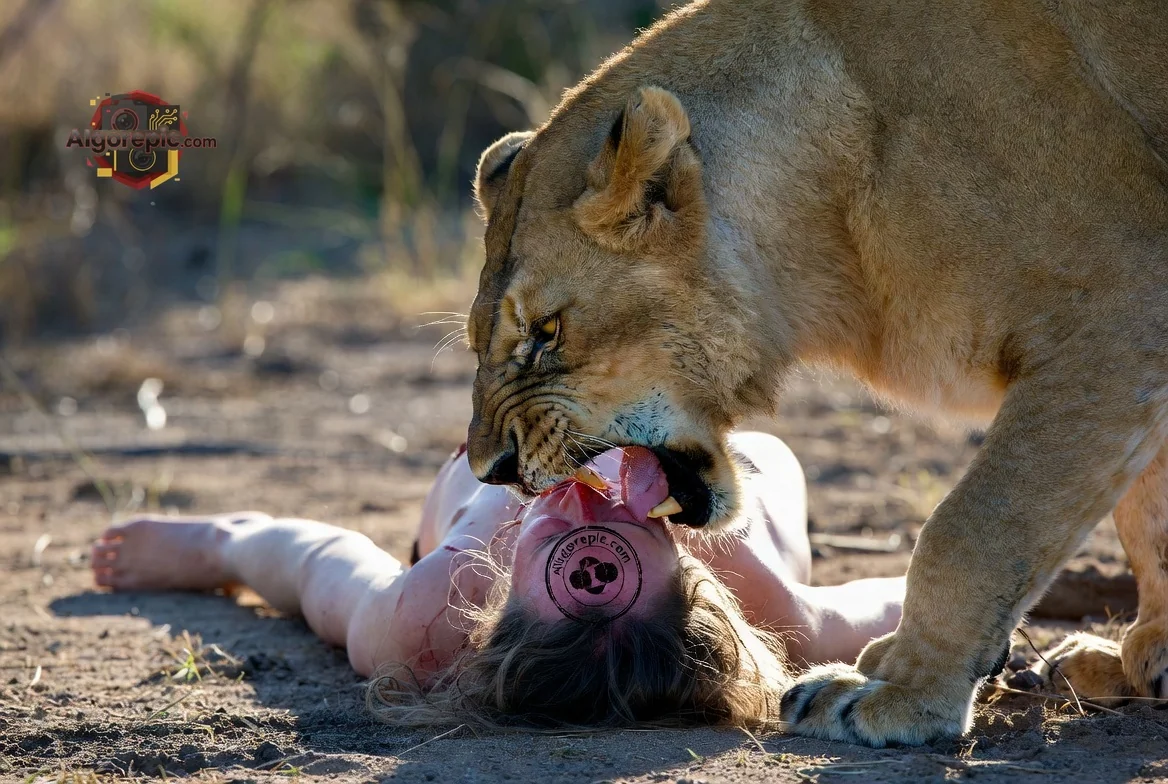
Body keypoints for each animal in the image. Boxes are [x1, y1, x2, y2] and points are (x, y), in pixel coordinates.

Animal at [462, 0, 1168, 747]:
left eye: (545, 333)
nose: (490, 469)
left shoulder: (1123, 301)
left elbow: (974, 529)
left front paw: (903, 695)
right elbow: (1149, 517)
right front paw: (1150, 653)